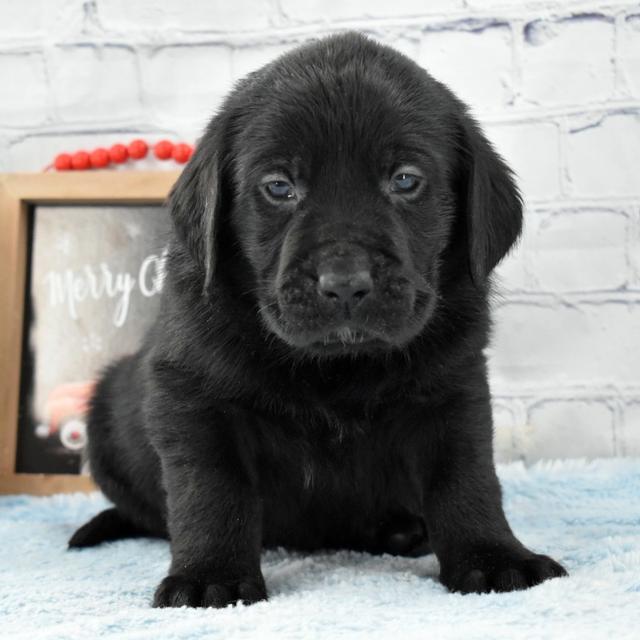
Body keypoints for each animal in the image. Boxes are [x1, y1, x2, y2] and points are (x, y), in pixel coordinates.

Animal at [70, 32, 568, 608]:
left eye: (405, 180)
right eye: (279, 186)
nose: (345, 282)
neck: (337, 365)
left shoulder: (454, 390)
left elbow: (466, 480)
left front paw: (493, 558)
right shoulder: (191, 397)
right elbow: (211, 490)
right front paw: (210, 576)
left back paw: (402, 531)